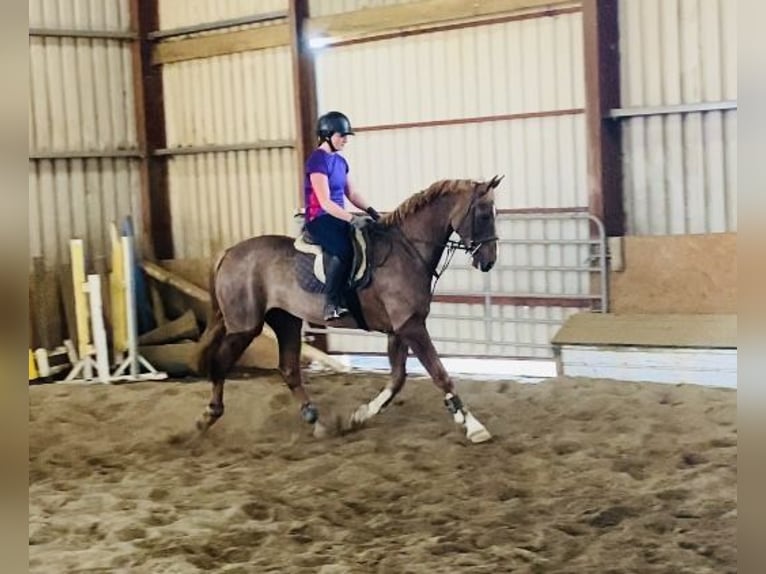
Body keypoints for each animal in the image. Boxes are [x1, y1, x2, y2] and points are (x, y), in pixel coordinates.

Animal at [194, 176, 504, 446]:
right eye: (484, 215)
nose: (488, 261)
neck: (407, 250)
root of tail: (229, 252)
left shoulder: (399, 329)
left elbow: (398, 379)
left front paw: (360, 415)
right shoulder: (411, 326)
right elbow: (440, 374)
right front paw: (474, 427)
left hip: (286, 320)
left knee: (289, 369)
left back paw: (317, 422)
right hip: (244, 326)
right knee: (220, 363)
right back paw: (207, 417)